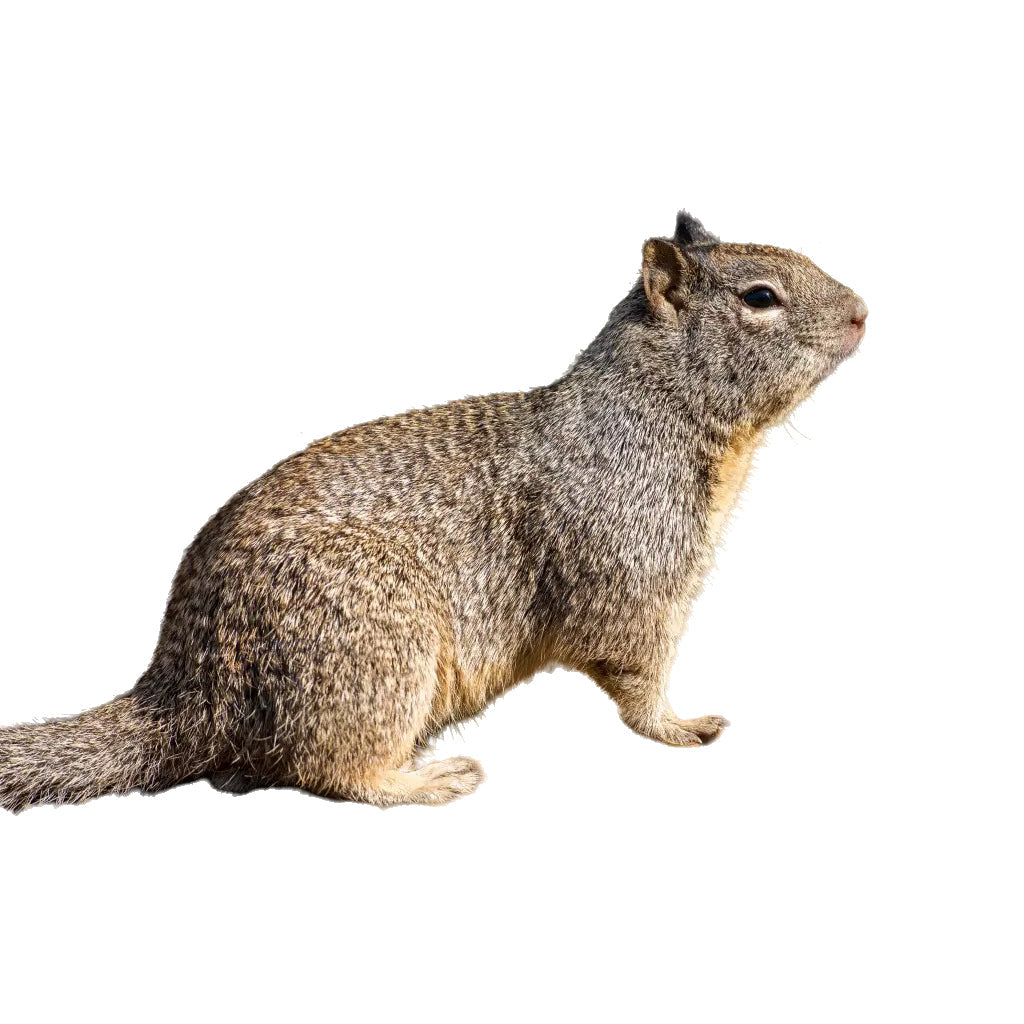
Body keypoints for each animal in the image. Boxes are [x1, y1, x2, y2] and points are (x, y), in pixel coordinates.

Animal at [0, 211, 867, 812]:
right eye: (761, 297)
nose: (863, 309)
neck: (652, 414)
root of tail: (184, 685)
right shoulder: (634, 571)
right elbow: (636, 678)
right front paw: (684, 726)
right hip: (376, 653)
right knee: (328, 769)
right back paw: (427, 779)